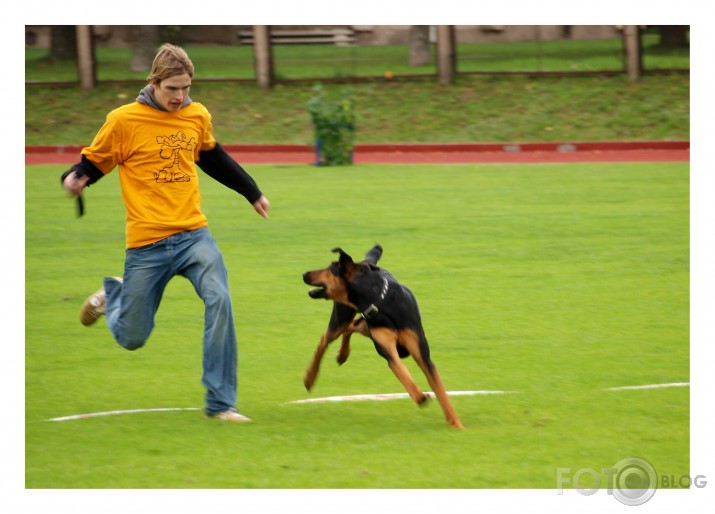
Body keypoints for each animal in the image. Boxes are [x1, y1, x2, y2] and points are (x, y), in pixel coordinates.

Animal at [302, 246, 464, 426]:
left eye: (331, 269)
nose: (304, 274)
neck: (380, 301)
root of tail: (365, 262)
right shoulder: (387, 348)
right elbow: (402, 371)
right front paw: (420, 396)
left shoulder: (422, 355)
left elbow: (440, 389)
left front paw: (456, 424)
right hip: (342, 317)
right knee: (326, 338)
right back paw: (310, 377)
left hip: (363, 325)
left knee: (351, 327)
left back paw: (343, 354)